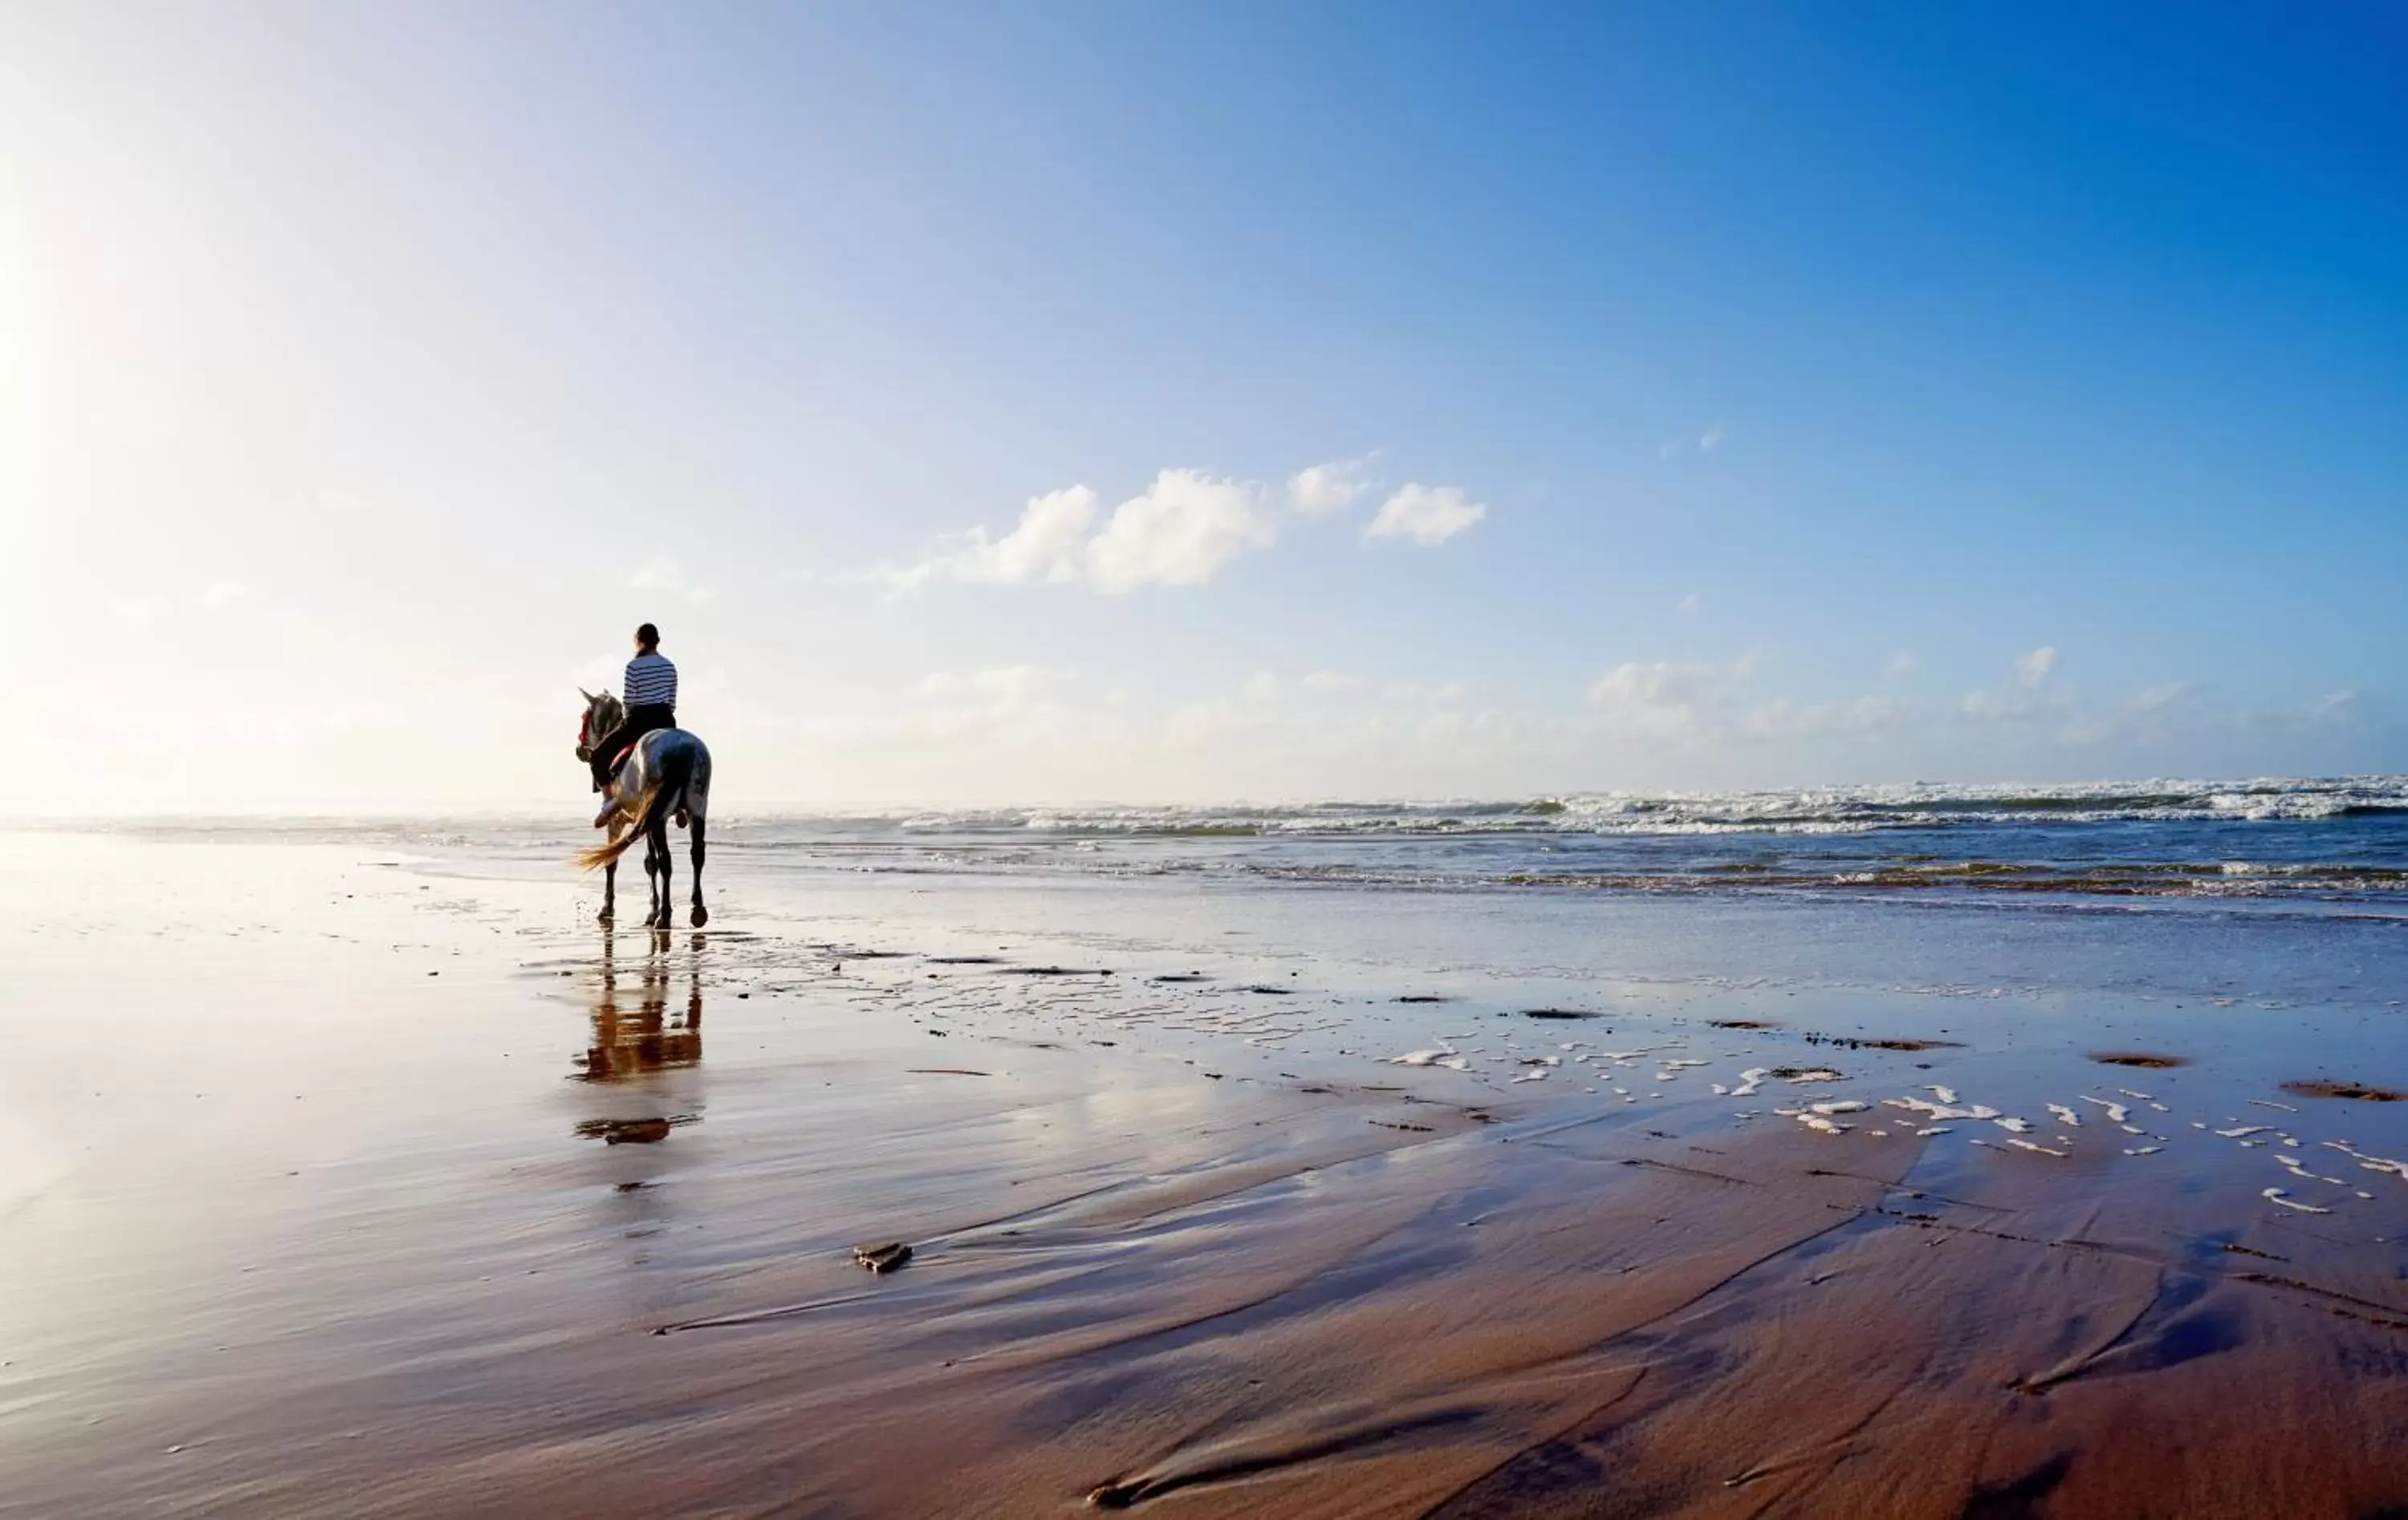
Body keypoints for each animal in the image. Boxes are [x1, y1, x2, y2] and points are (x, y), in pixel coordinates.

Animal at [571, 689, 708, 929]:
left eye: (584, 716)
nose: (580, 750)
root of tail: (682, 748)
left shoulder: (618, 822)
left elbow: (613, 862)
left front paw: (608, 908)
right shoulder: (645, 821)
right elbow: (650, 863)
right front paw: (652, 910)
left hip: (659, 818)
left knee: (666, 860)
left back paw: (665, 916)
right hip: (696, 808)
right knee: (697, 854)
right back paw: (697, 910)